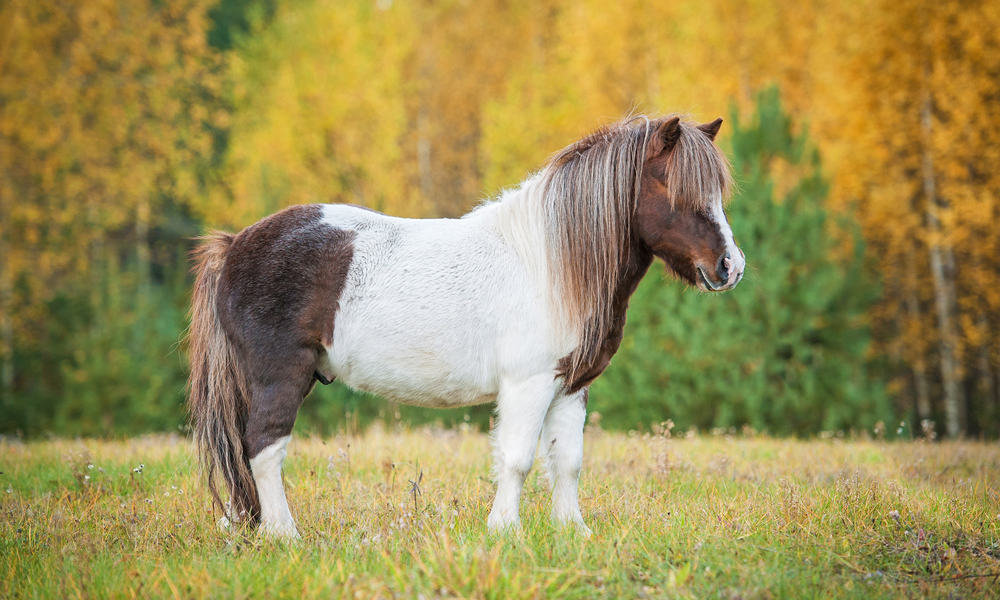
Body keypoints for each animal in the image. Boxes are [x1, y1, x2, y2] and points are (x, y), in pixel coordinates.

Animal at [187, 114, 744, 539]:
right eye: (676, 187)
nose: (731, 266)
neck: (549, 263)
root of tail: (235, 245)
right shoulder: (529, 384)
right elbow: (518, 458)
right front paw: (505, 531)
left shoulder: (570, 387)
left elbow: (567, 461)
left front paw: (573, 532)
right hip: (281, 378)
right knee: (263, 448)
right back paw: (286, 535)